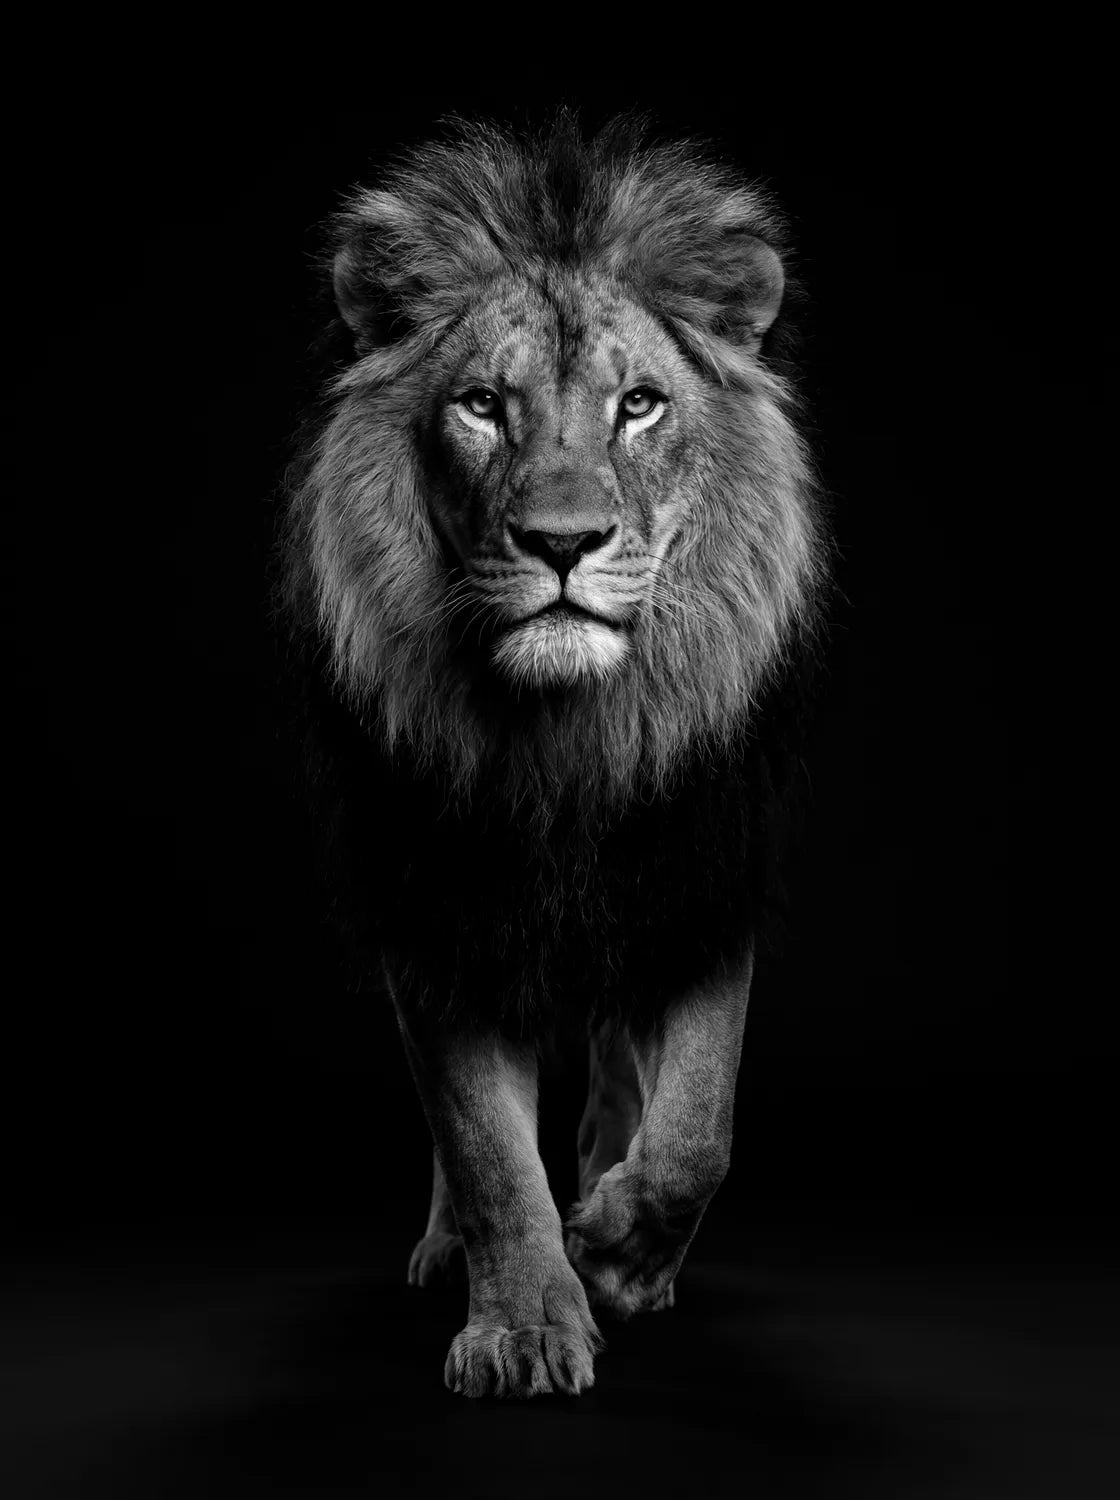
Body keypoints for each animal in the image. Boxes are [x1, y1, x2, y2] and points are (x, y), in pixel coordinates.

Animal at [282, 113, 826, 1399]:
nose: (563, 542)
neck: (563, 745)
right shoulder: (437, 910)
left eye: (640, 405)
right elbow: (483, 1145)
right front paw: (526, 1320)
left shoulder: (698, 876)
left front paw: (621, 1250)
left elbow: (698, 1125)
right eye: (483, 404)